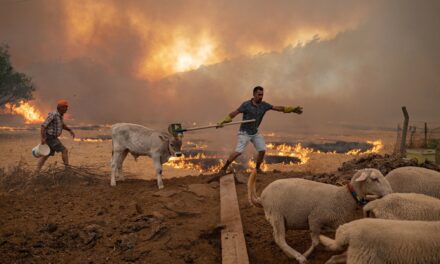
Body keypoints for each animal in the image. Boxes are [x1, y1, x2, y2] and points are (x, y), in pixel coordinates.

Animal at [248, 168, 392, 262]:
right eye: (374, 179)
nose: (390, 192)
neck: (344, 196)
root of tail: (262, 197)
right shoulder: (314, 219)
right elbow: (316, 242)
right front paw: (306, 254)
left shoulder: (335, 222)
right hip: (276, 214)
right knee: (280, 239)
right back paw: (299, 256)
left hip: (280, 219)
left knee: (276, 236)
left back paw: (289, 254)